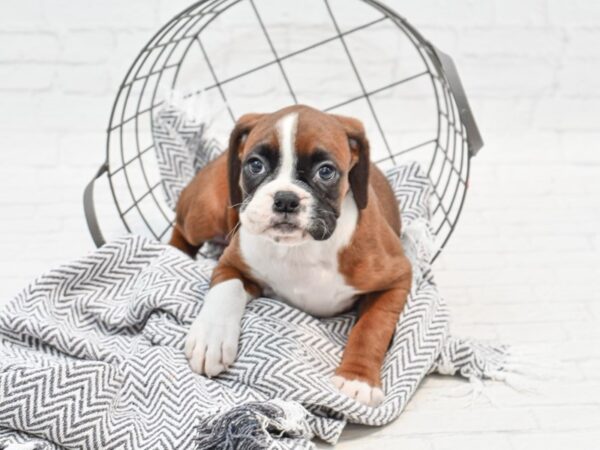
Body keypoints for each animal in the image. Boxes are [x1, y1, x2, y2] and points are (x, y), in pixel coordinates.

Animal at [171, 103, 410, 406]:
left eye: (326, 171)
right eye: (255, 165)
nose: (285, 199)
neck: (301, 249)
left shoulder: (397, 278)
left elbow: (372, 327)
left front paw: (358, 379)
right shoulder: (232, 265)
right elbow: (225, 291)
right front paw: (211, 337)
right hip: (205, 211)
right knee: (181, 229)